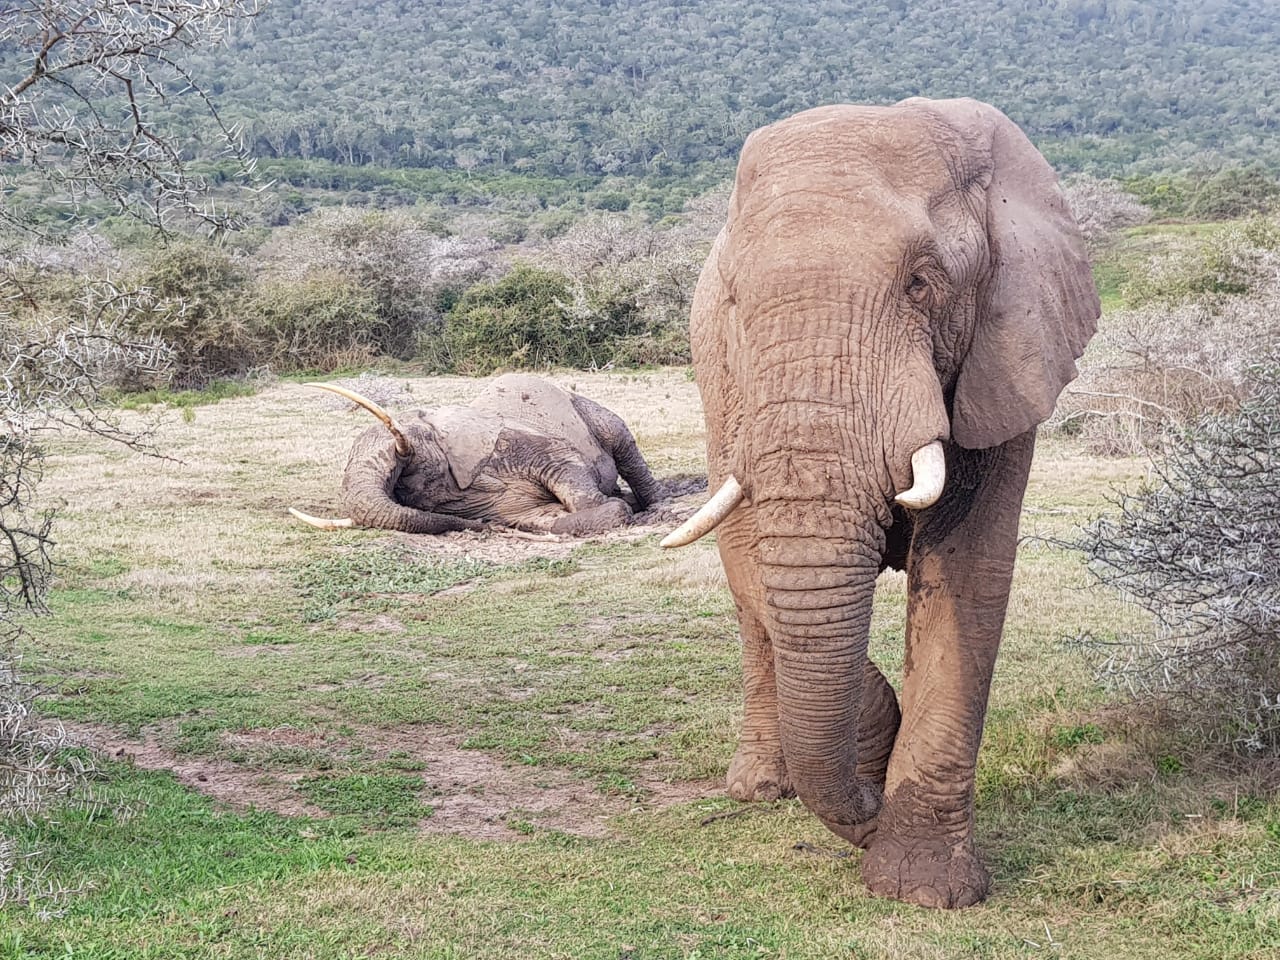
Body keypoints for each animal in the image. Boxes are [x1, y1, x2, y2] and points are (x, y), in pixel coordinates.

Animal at [291, 376, 665, 537]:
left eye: (409, 443)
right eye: (402, 487)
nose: (483, 527)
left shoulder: (509, 442)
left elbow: (565, 463)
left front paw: (621, 505)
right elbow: (543, 519)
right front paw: (617, 506)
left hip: (589, 410)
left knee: (622, 443)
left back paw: (655, 504)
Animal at [660, 97, 1100, 911]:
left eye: (922, 284)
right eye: (735, 303)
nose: (867, 801)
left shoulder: (1006, 358)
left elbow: (968, 571)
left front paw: (925, 888)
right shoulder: (735, 389)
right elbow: (754, 554)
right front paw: (877, 764)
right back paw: (758, 788)